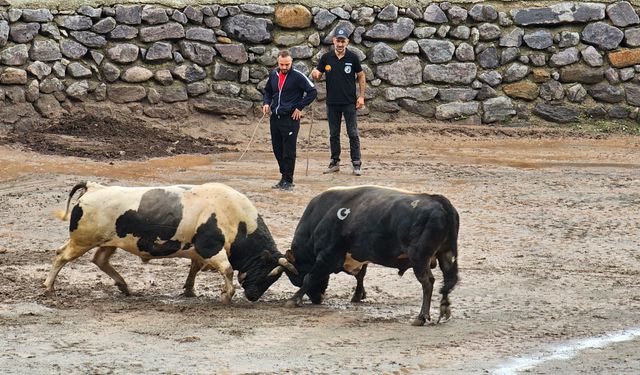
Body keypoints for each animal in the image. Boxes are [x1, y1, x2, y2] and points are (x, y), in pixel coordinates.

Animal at [42, 181, 298, 302]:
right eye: (268, 273)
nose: (253, 296)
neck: (235, 218)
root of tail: (94, 187)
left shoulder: (198, 251)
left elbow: (194, 269)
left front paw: (190, 290)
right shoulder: (211, 247)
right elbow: (226, 269)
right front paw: (227, 294)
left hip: (108, 243)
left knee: (100, 260)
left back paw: (124, 285)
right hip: (82, 241)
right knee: (61, 256)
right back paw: (48, 287)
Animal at [282, 187, 458, 328]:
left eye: (296, 278)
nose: (318, 299)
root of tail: (440, 202)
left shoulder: (328, 256)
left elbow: (310, 277)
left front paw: (293, 299)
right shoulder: (360, 257)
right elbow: (361, 275)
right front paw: (358, 295)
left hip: (419, 258)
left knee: (428, 283)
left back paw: (421, 317)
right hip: (446, 253)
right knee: (448, 280)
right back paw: (444, 308)